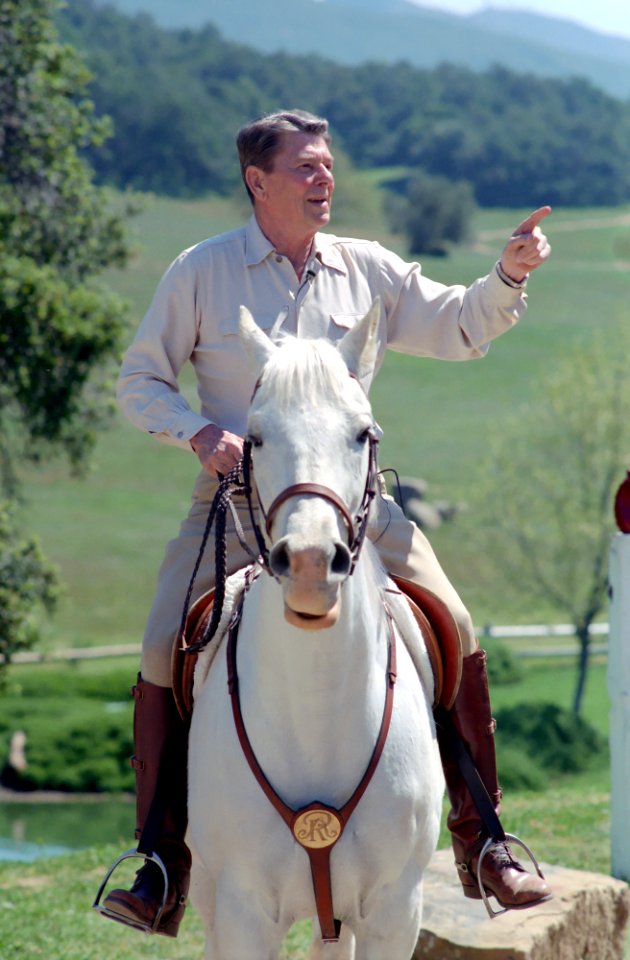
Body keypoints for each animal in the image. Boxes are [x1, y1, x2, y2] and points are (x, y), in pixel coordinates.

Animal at [188, 302, 444, 960]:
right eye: (253, 437)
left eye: (363, 434)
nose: (307, 565)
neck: (317, 708)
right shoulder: (243, 914)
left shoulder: (393, 912)